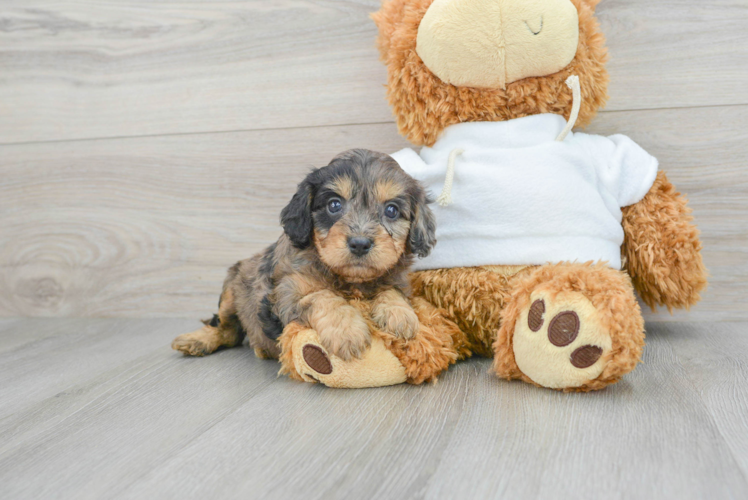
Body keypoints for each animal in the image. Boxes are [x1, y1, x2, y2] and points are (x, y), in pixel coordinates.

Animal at [172, 148, 436, 364]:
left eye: (391, 210)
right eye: (334, 205)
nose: (360, 244)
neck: (350, 280)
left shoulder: (398, 281)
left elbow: (392, 291)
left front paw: (400, 315)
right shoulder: (285, 295)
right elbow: (321, 296)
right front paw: (347, 331)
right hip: (232, 286)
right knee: (226, 328)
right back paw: (197, 340)